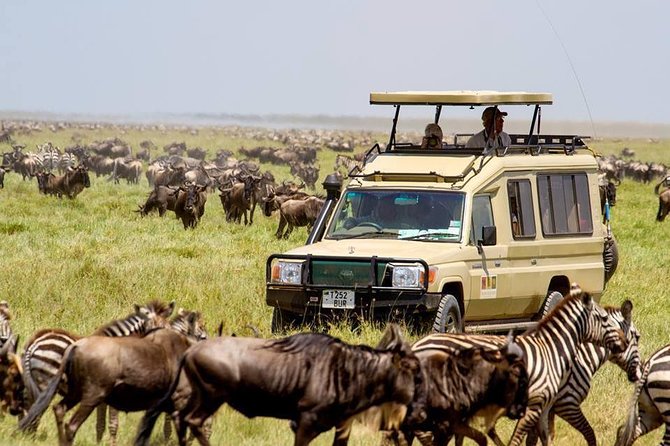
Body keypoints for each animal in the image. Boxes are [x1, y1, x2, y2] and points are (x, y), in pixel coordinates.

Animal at [410, 286, 632, 446]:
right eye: (604, 319)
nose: (624, 342)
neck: (554, 349)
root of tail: (417, 345)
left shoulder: (545, 406)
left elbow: (541, 438)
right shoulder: (559, 402)